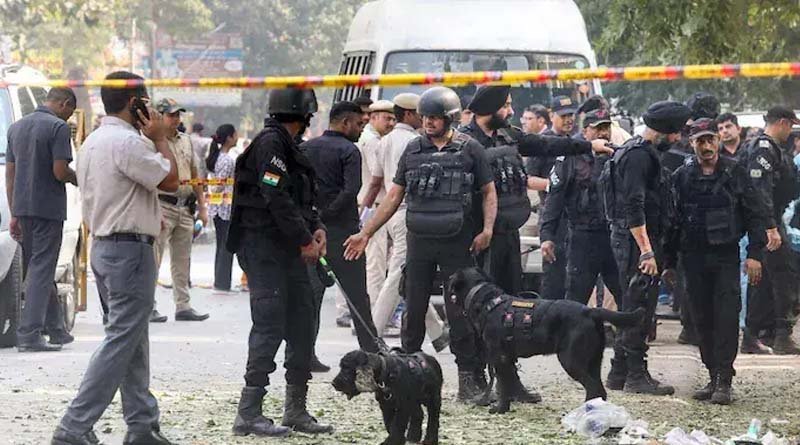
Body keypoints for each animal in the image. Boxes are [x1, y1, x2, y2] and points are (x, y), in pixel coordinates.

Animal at [450, 268, 644, 412]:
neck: (488, 302)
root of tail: (590, 311)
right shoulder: (507, 358)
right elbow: (509, 380)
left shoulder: (500, 358)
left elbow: (503, 386)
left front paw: (500, 409)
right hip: (594, 361)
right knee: (600, 390)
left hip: (571, 360)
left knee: (592, 388)